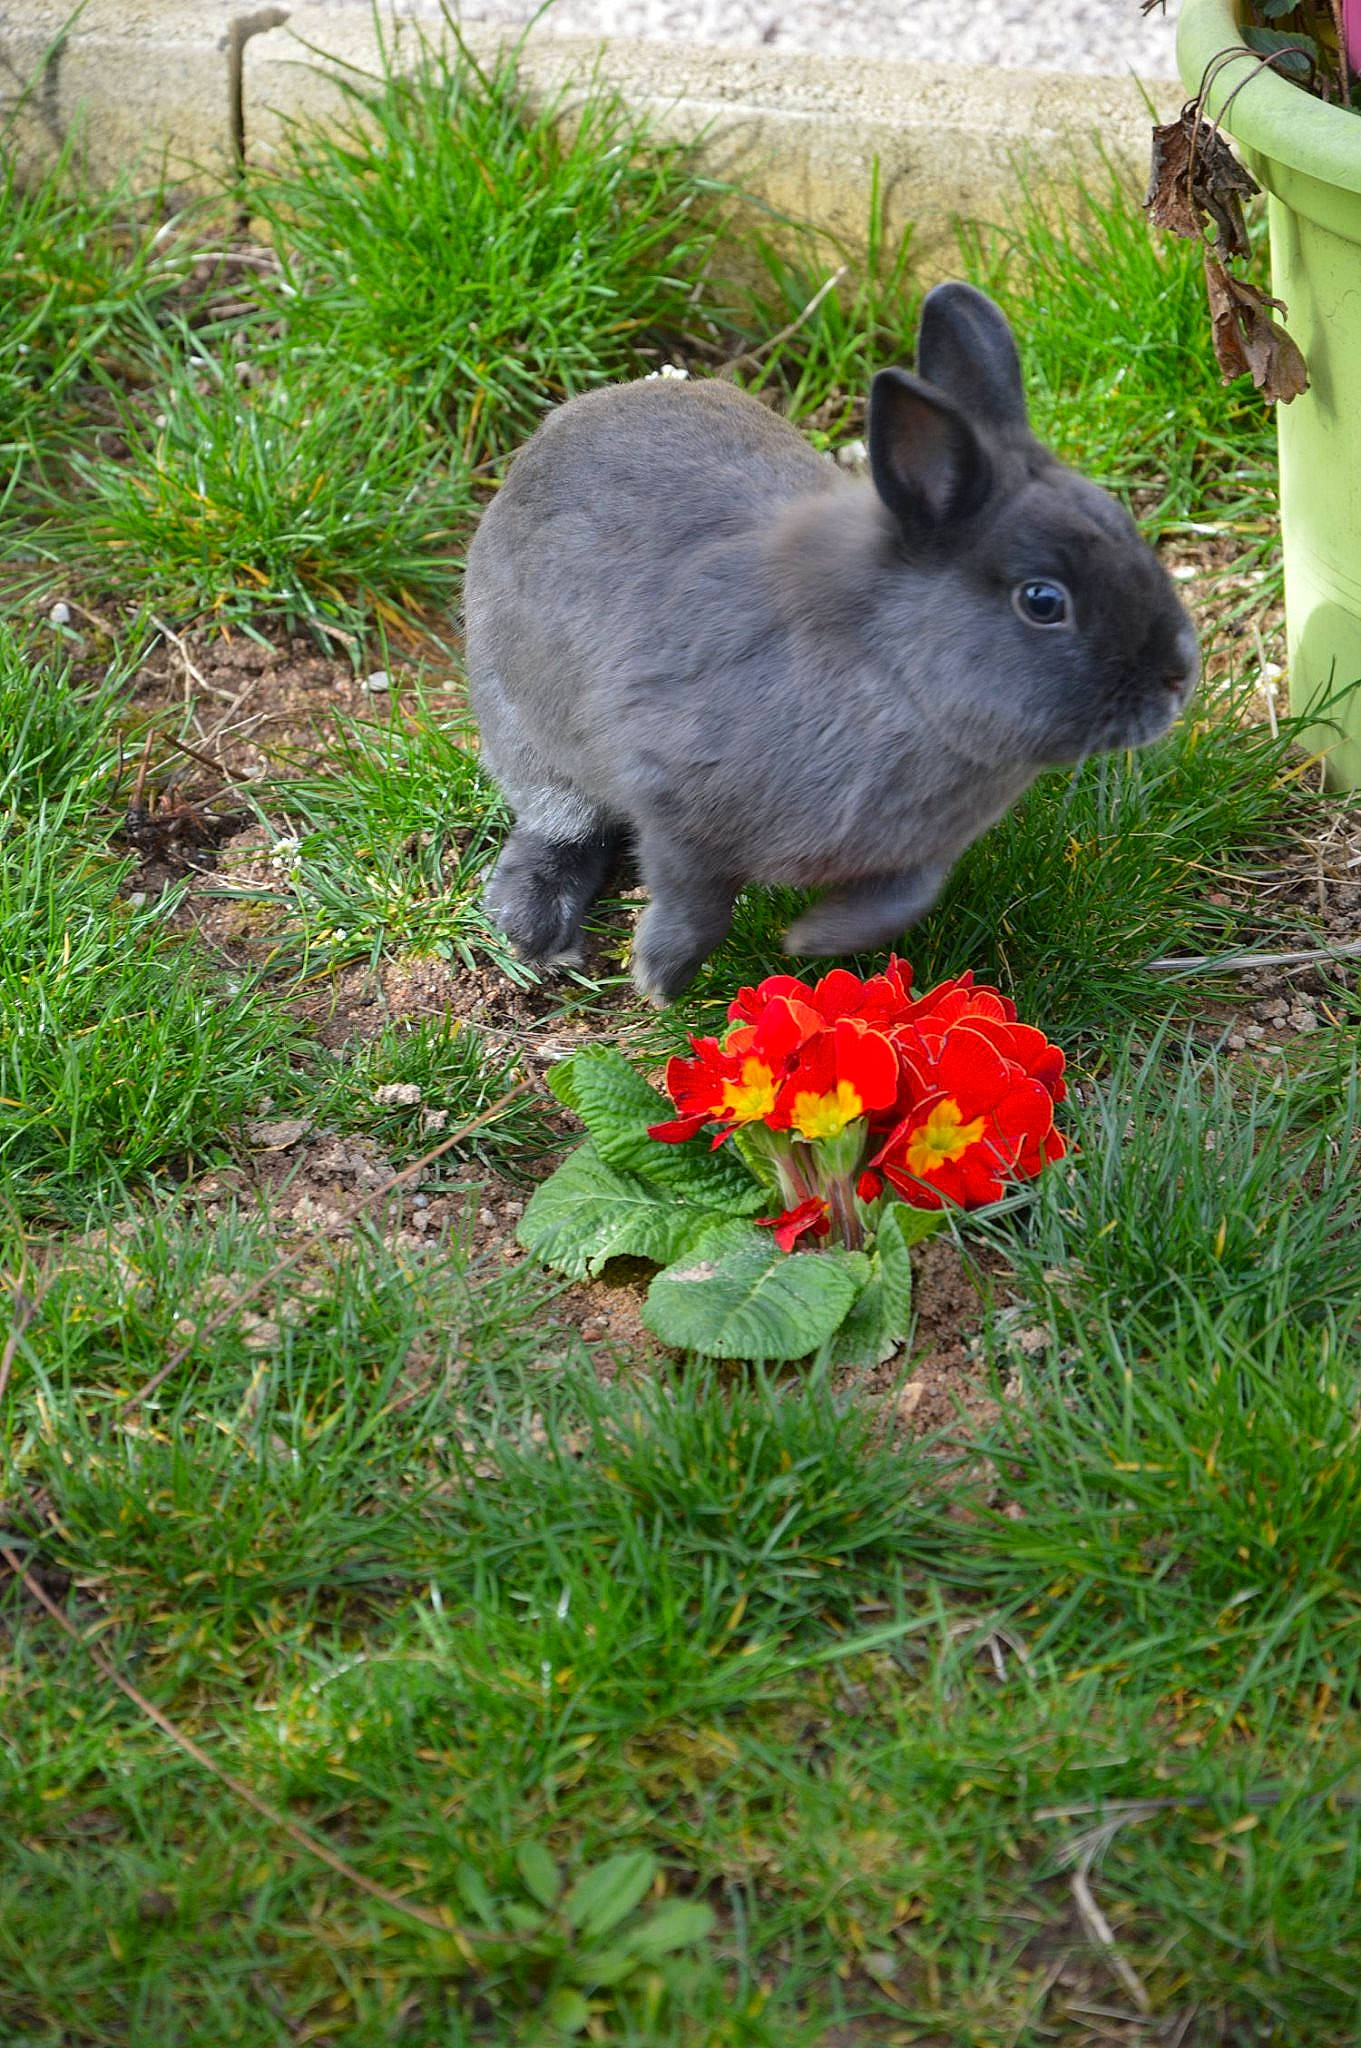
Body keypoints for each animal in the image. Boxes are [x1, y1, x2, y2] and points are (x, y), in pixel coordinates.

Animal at [463, 281, 1200, 1005]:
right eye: (1043, 601)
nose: (1176, 679)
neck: (894, 677)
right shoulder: (674, 805)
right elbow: (694, 903)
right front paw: (660, 979)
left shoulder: (920, 855)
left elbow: (899, 903)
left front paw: (809, 941)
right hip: (521, 725)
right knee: (558, 822)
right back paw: (534, 926)